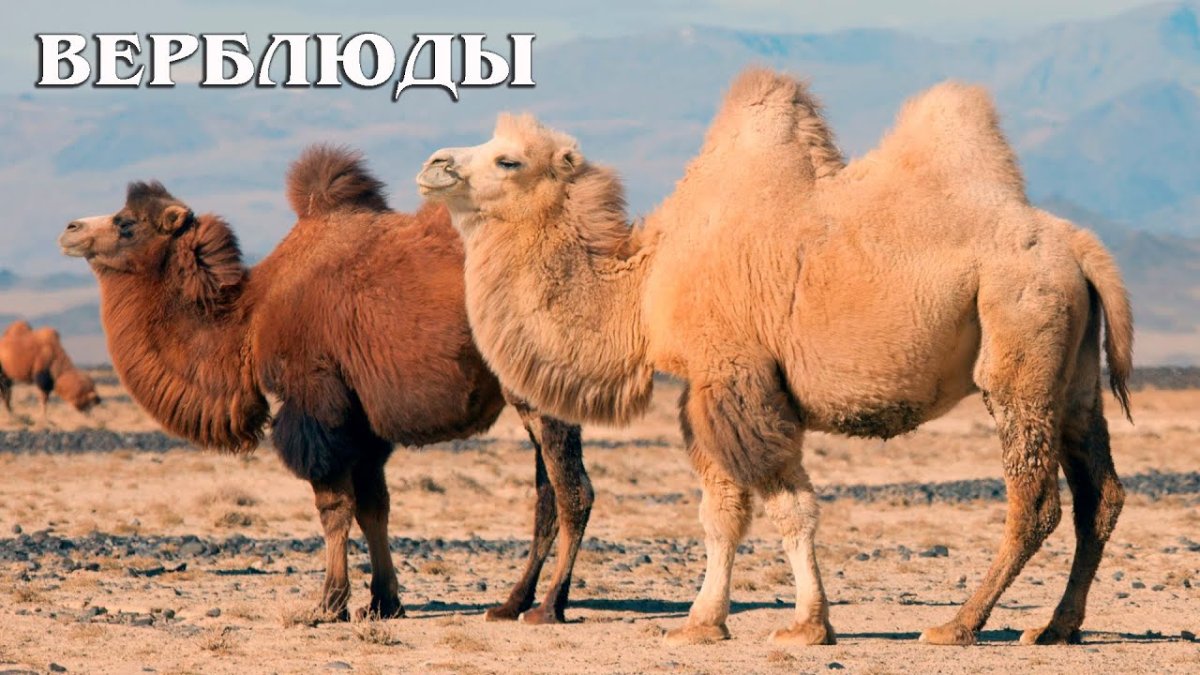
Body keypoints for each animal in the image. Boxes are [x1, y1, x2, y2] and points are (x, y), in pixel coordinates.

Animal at [58, 146, 594, 624]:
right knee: (547, 495)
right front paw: (382, 602)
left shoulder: (315, 400)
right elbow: (375, 506)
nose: (69, 229)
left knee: (573, 492)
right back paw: (510, 604)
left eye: (126, 223)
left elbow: (334, 505)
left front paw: (327, 604)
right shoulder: (362, 417)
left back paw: (548, 607)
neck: (250, 317)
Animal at [418, 68, 1134, 647]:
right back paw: (1056, 627)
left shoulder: (733, 377)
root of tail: (1078, 245)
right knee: (1100, 494)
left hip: (1019, 341)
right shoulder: (722, 389)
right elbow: (743, 511)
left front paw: (780, 625)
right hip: (1072, 374)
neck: (643, 289)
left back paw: (958, 626)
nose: (434, 164)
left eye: (508, 160)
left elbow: (767, 508)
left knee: (1034, 499)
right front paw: (730, 622)